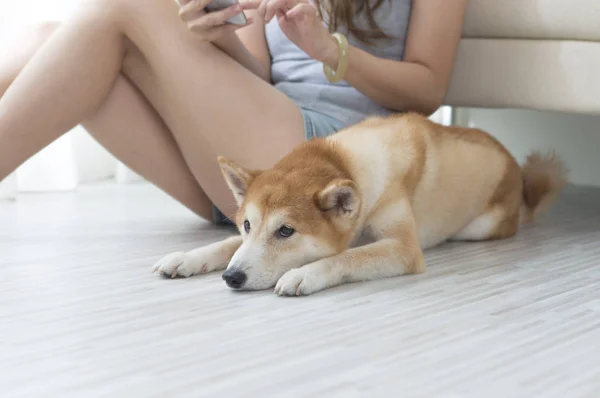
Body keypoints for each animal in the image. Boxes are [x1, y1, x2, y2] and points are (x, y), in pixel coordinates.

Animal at [152, 112, 564, 296]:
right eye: (247, 225)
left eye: (286, 231)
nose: (231, 278)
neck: (347, 164)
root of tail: (516, 169)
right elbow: (227, 245)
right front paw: (187, 258)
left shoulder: (402, 248)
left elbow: (347, 256)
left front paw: (304, 273)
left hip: (479, 227)